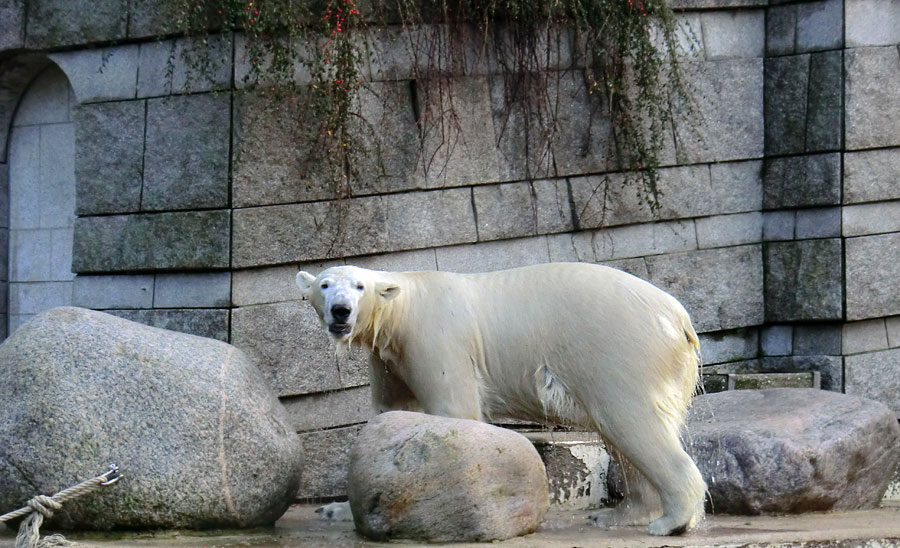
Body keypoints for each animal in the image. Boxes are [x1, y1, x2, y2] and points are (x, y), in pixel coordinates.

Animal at [298, 262, 708, 536]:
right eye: (325, 285)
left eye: (359, 286)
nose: (340, 310)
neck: (403, 307)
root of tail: (679, 318)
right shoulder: (389, 359)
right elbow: (390, 416)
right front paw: (336, 509)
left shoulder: (434, 338)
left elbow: (454, 409)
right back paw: (619, 514)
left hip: (620, 349)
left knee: (631, 422)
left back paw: (670, 522)